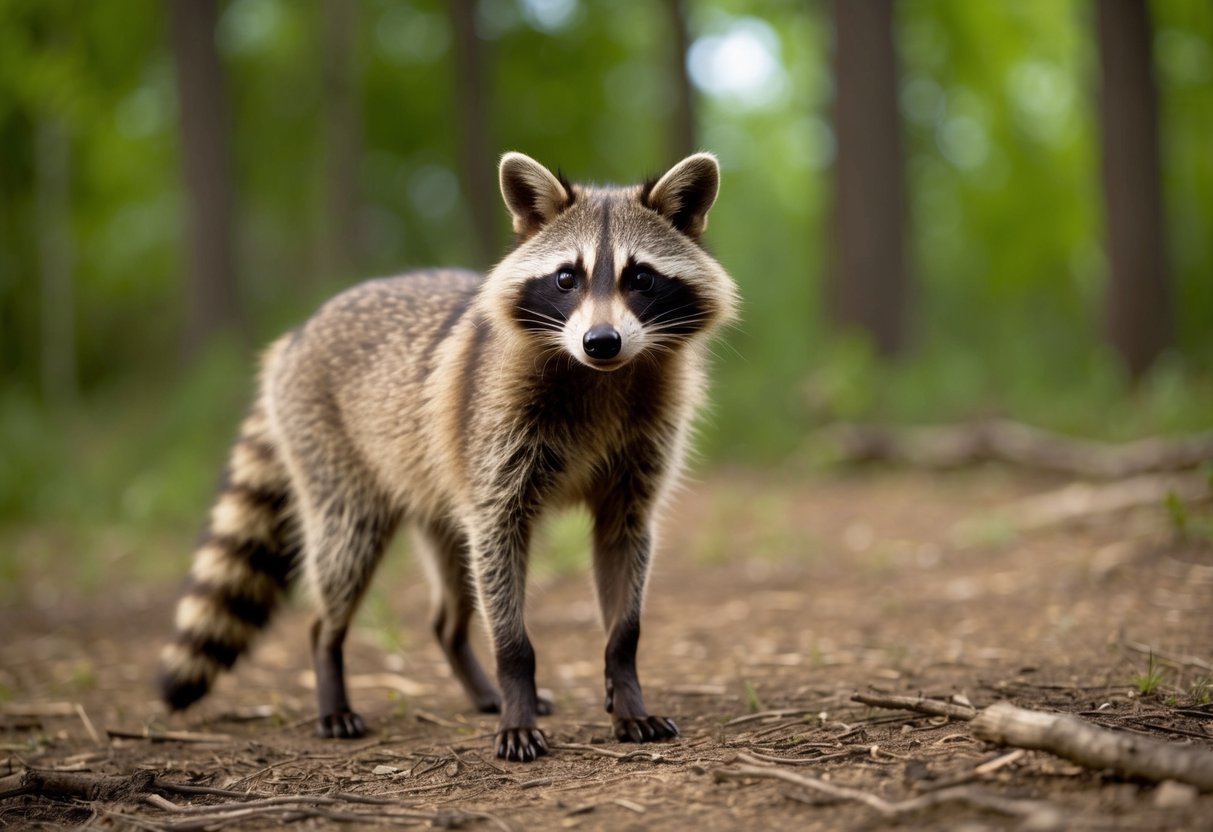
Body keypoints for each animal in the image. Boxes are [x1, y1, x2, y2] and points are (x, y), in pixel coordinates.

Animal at [159, 152, 739, 761]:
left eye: (641, 277)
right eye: (566, 278)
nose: (601, 341)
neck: (600, 376)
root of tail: (298, 333)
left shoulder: (635, 464)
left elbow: (624, 590)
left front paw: (625, 691)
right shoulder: (495, 447)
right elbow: (507, 613)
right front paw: (515, 691)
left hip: (439, 491)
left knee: (451, 605)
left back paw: (474, 674)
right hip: (333, 457)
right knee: (344, 557)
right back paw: (331, 668)